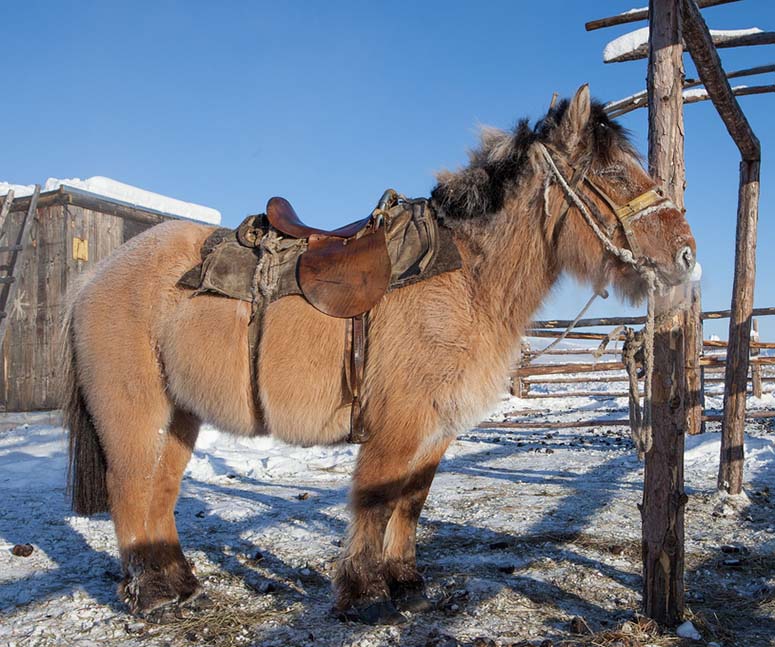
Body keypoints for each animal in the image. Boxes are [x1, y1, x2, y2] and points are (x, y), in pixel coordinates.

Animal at [63, 87, 696, 628]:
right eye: (613, 172)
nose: (687, 256)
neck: (466, 278)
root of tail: (94, 277)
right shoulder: (396, 425)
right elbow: (374, 500)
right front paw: (365, 593)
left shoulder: (437, 430)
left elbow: (410, 502)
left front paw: (406, 583)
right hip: (133, 413)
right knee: (129, 489)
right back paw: (151, 597)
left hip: (180, 416)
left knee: (160, 494)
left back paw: (181, 584)